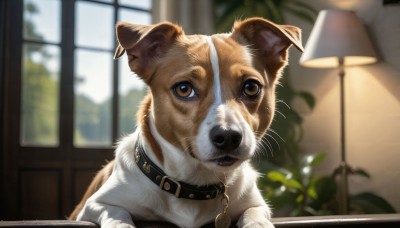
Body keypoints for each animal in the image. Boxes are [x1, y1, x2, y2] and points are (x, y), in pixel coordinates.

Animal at [70, 16, 304, 227]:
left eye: (251, 87)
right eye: (184, 89)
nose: (228, 136)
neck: (195, 184)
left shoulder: (255, 204)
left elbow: (255, 216)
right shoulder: (94, 206)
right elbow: (118, 215)